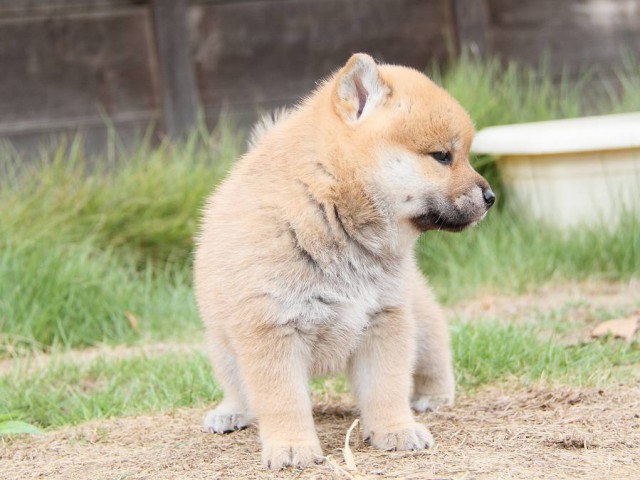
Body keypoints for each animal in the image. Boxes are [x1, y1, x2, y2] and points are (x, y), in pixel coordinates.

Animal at [195, 52, 496, 468]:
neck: (327, 211)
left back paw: (433, 395)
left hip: (419, 318)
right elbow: (283, 401)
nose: (491, 197)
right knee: (239, 388)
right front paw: (292, 445)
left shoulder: (384, 320)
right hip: (225, 346)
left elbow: (387, 388)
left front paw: (396, 430)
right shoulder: (271, 330)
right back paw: (232, 412)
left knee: (433, 354)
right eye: (442, 156)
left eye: (463, 156)